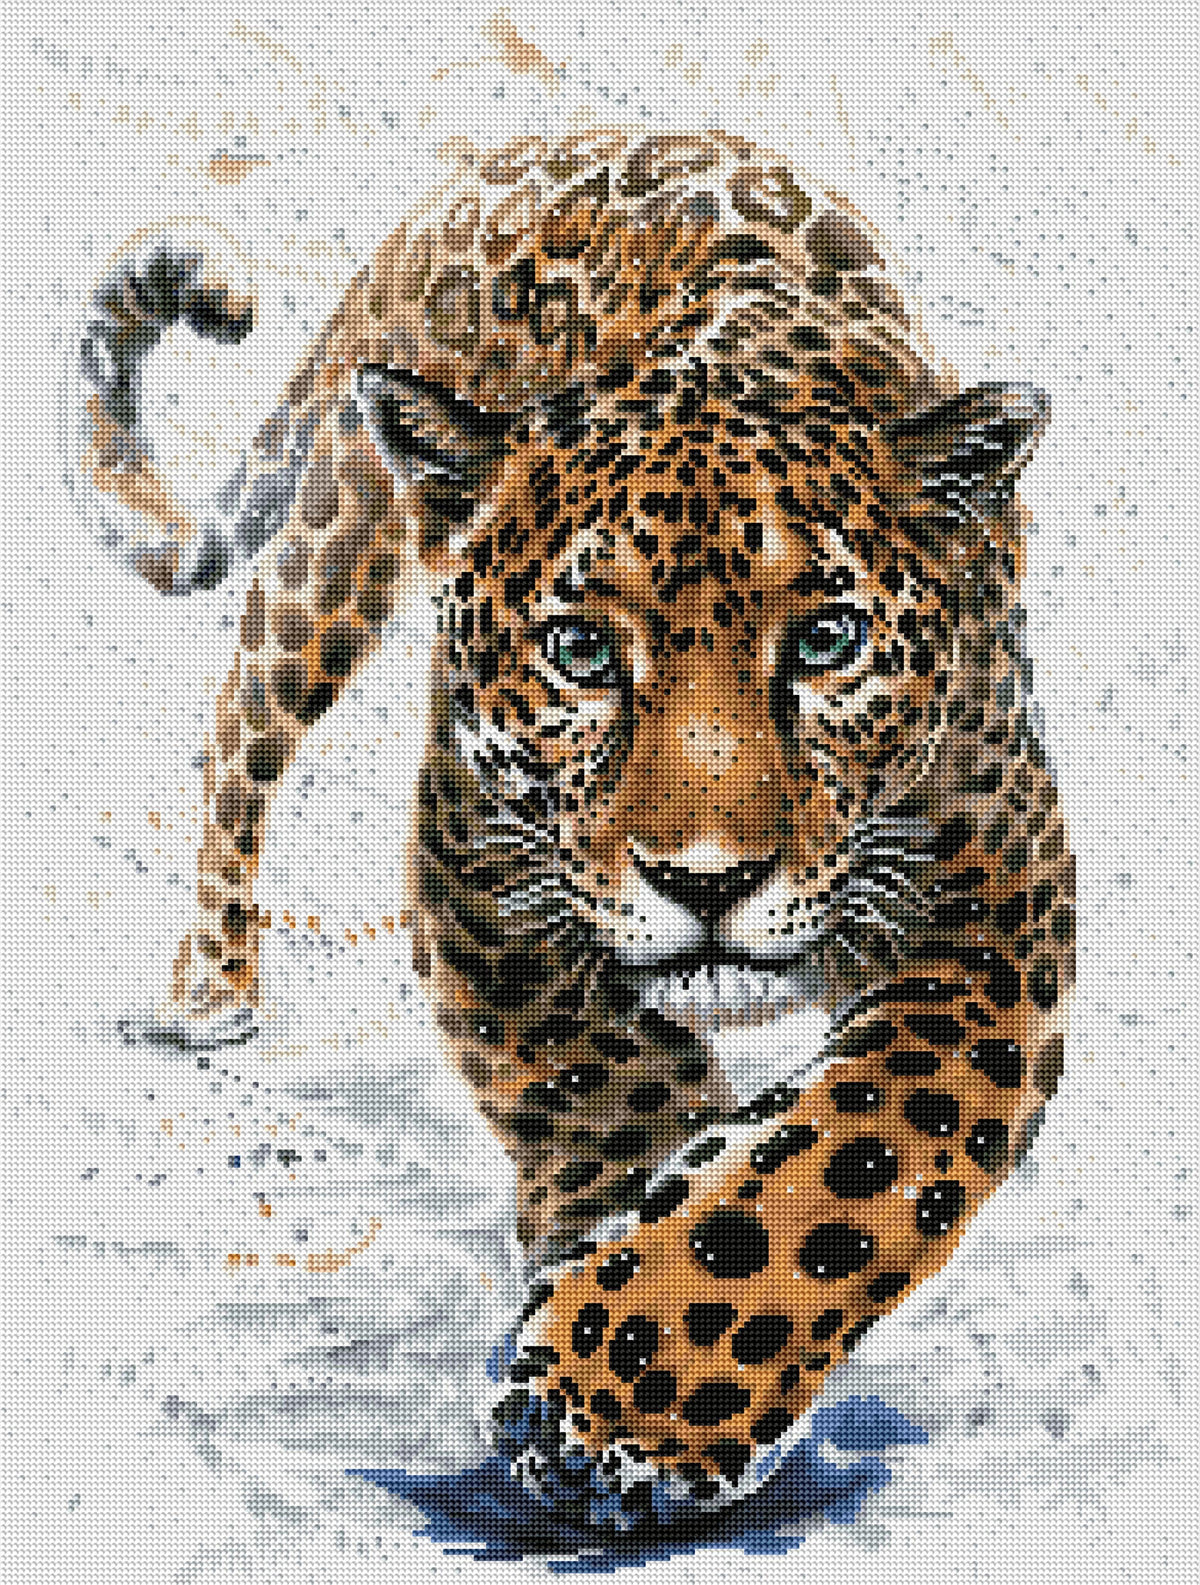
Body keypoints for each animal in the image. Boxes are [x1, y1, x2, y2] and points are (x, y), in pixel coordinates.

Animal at [68, 128, 1074, 1534]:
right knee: (236, 732)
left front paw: (630, 1399)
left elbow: (859, 1154)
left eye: (827, 640)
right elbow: (601, 1080)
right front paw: (612, 1357)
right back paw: (211, 984)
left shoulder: (1000, 900)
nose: (707, 879)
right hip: (336, 553)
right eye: (582, 649)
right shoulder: (477, 857)